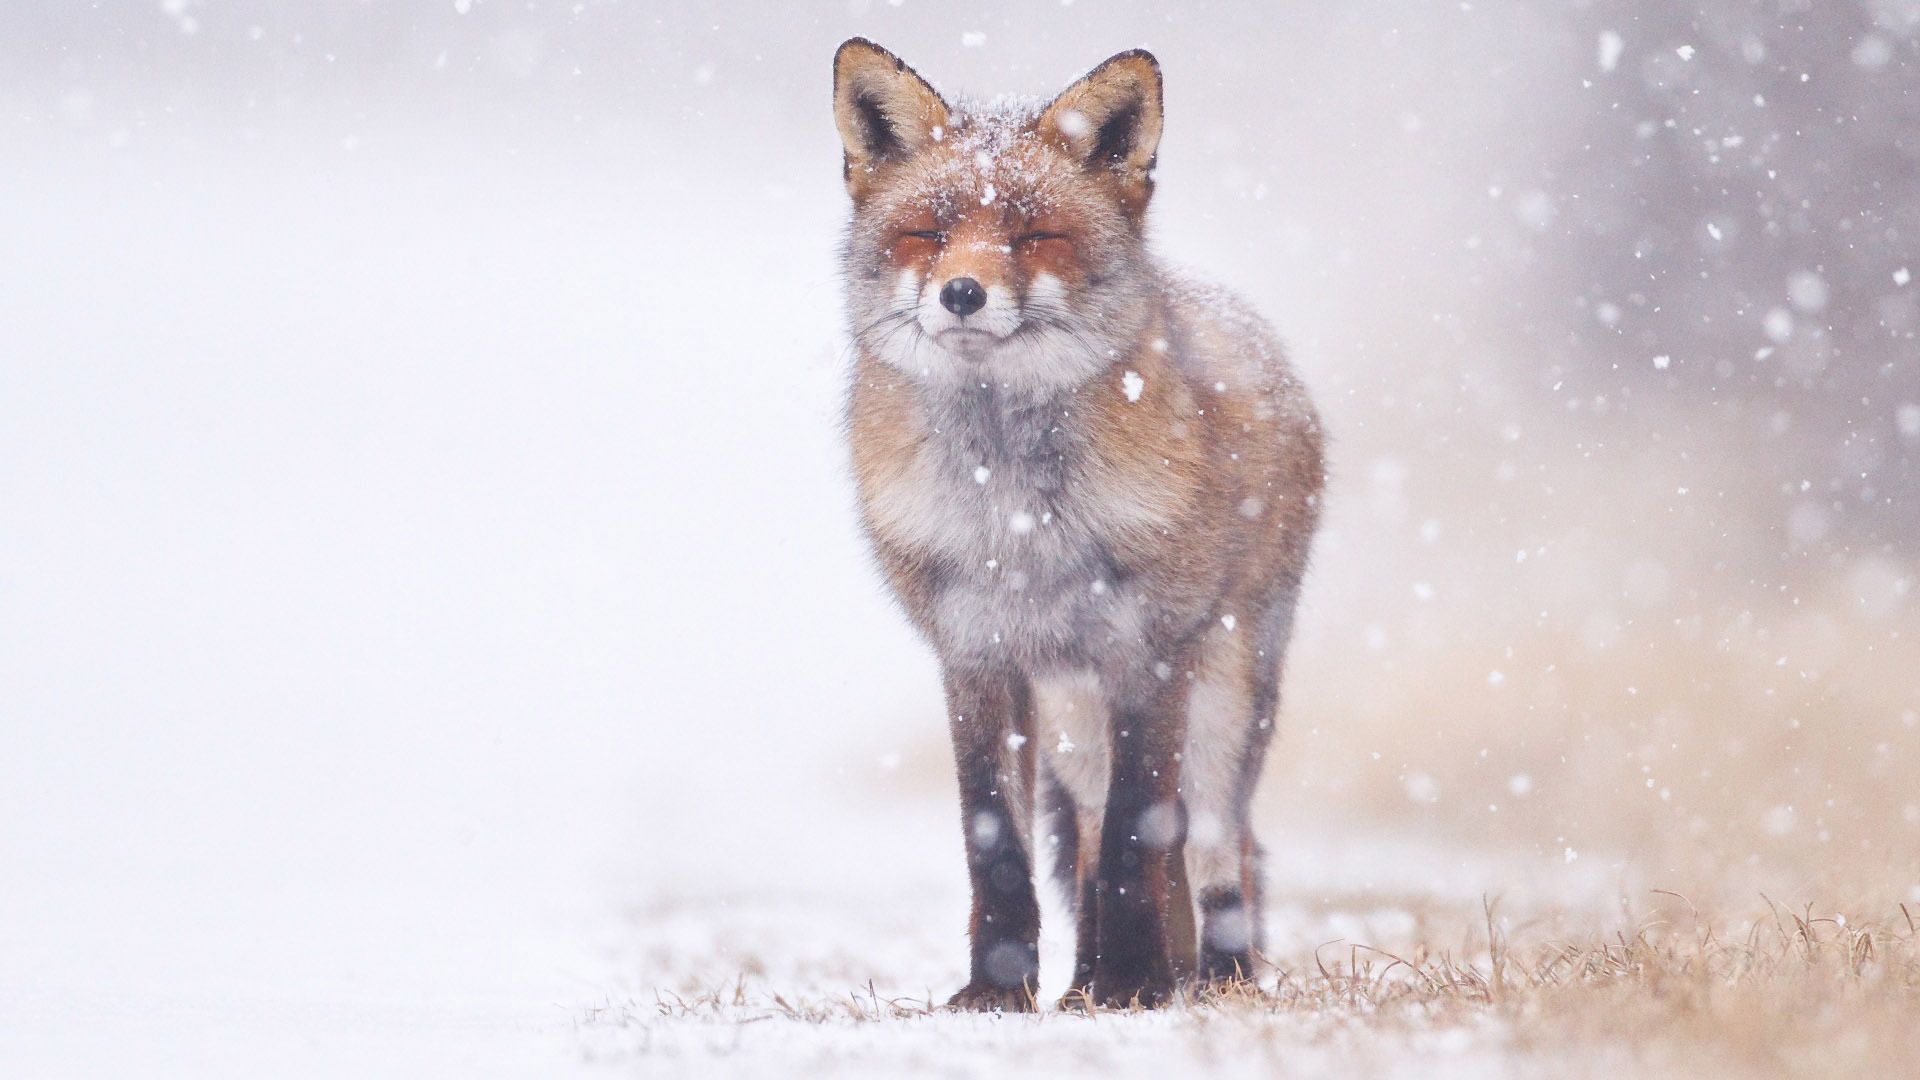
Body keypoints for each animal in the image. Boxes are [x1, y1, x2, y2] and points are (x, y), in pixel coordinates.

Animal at [834, 39, 1325, 1011]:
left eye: (1033, 237)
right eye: (929, 234)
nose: (961, 292)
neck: (1015, 519)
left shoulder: (1148, 653)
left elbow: (1144, 837)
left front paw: (1138, 987)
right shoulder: (976, 658)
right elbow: (1000, 844)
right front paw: (998, 993)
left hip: (1224, 694)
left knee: (1217, 847)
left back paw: (1209, 979)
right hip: (1071, 717)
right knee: (1094, 836)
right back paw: (1086, 981)